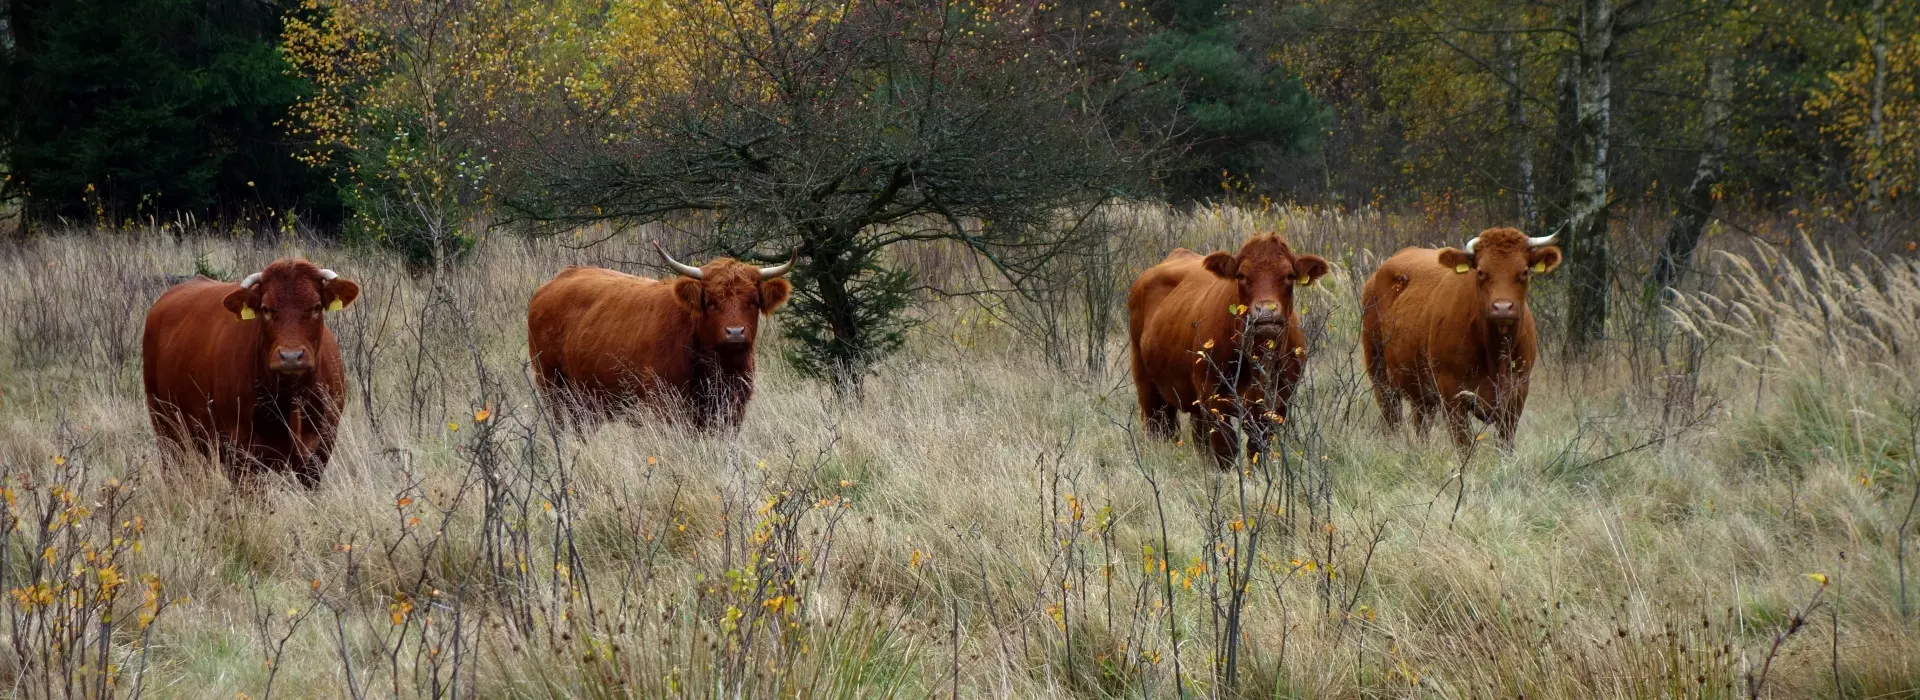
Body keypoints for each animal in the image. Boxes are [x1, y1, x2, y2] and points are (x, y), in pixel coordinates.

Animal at [141, 256, 360, 485]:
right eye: (266, 308)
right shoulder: (242, 454)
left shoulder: (320, 451)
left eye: (316, 307)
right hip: (164, 425)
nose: (291, 356)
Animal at [526, 238, 794, 425]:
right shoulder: (666, 407)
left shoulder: (732, 410)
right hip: (554, 387)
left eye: (753, 301)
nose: (735, 332)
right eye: (711, 302)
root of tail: (559, 278)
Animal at [1121, 233, 1336, 464]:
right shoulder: (1213, 399)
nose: (1266, 311)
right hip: (1146, 384)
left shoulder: (1277, 405)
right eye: (1241, 275)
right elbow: (1226, 451)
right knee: (1158, 428)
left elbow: (1256, 452)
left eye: (1289, 275)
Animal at [1359, 229, 1566, 446]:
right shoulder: (1452, 394)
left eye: (1524, 271)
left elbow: (1505, 444)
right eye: (1481, 271)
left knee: (1421, 424)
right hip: (1379, 373)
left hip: (1420, 392)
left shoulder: (1517, 395)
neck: (1495, 355)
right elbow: (1464, 444)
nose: (1502, 307)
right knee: (1391, 419)